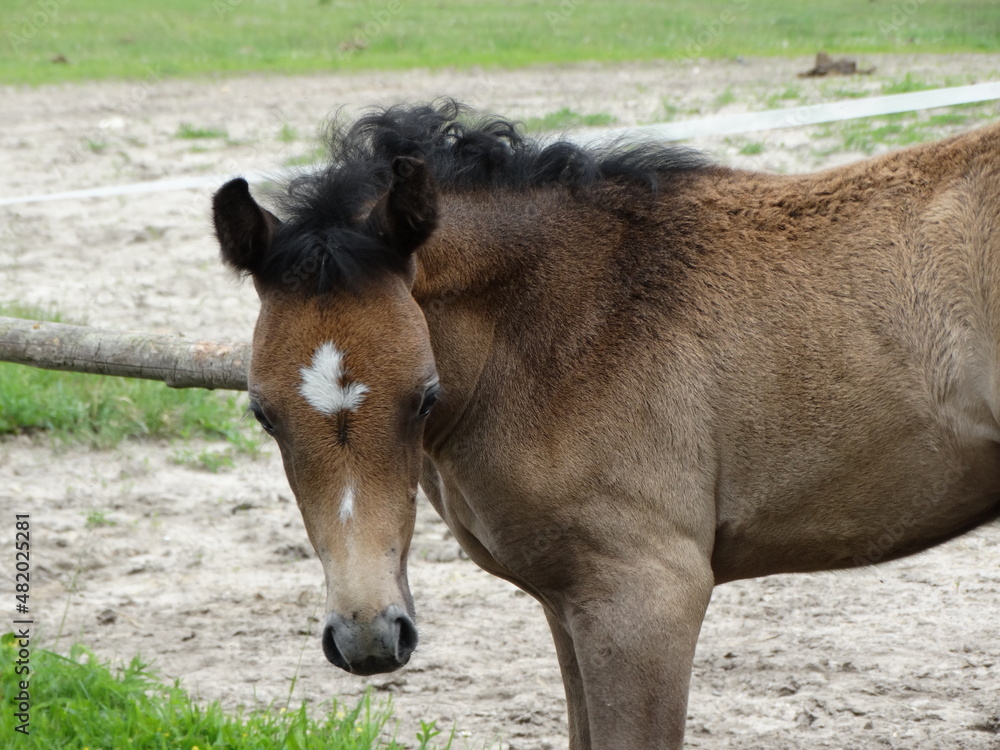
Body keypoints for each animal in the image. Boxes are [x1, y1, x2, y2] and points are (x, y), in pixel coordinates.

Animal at [212, 100, 1000, 748]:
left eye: (424, 398)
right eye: (263, 412)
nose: (369, 636)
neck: (566, 324)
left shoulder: (646, 594)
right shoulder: (570, 600)